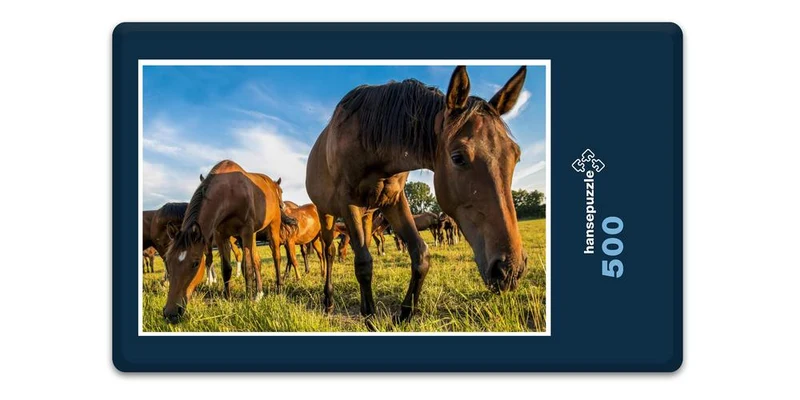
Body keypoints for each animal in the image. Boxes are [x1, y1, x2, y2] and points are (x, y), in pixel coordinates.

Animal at [163, 160, 295, 323]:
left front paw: (248, 300)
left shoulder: (245, 231)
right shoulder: (221, 235)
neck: (229, 193)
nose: (171, 313)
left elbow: (247, 267)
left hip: (273, 227)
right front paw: (228, 298)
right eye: (168, 261)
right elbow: (226, 268)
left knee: (276, 257)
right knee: (257, 261)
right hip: (253, 235)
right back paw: (259, 294)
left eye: (195, 263)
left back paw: (279, 289)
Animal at [306, 65, 529, 328]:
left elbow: (420, 255)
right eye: (458, 157)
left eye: (516, 156)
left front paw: (403, 314)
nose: (509, 269)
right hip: (327, 213)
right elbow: (363, 264)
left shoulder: (393, 200)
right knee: (329, 252)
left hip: (367, 214)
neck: (368, 140)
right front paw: (370, 319)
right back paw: (328, 301)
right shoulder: (347, 202)